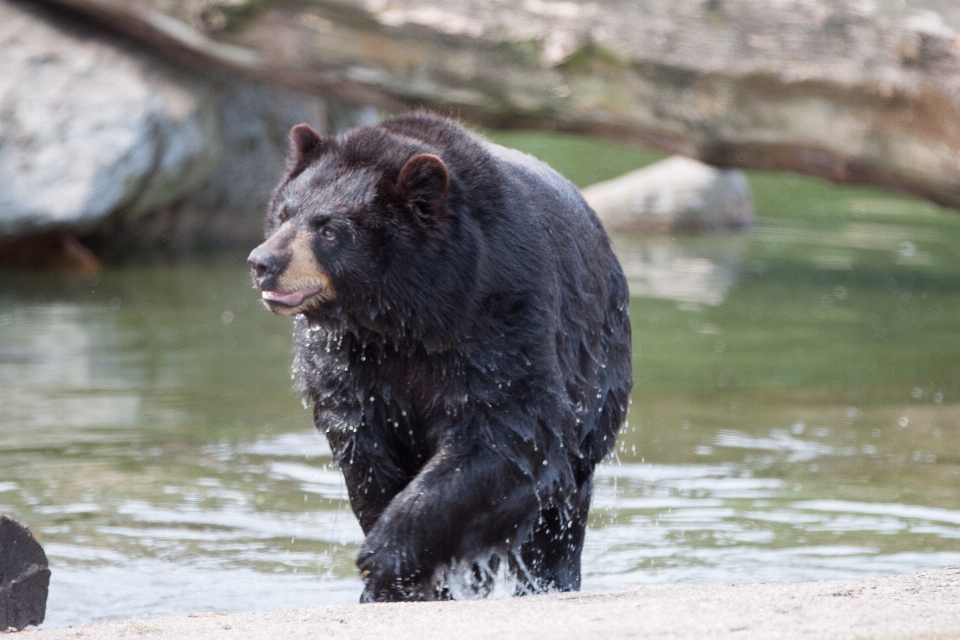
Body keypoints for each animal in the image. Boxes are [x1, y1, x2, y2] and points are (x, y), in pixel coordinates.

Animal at [249, 114, 632, 600]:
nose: (262, 262)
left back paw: (550, 581)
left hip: (597, 365)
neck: (406, 314)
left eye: (330, 229)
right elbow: (363, 446)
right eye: (283, 213)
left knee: (559, 517)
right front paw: (394, 576)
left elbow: (508, 431)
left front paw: (384, 558)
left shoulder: (499, 317)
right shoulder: (348, 357)